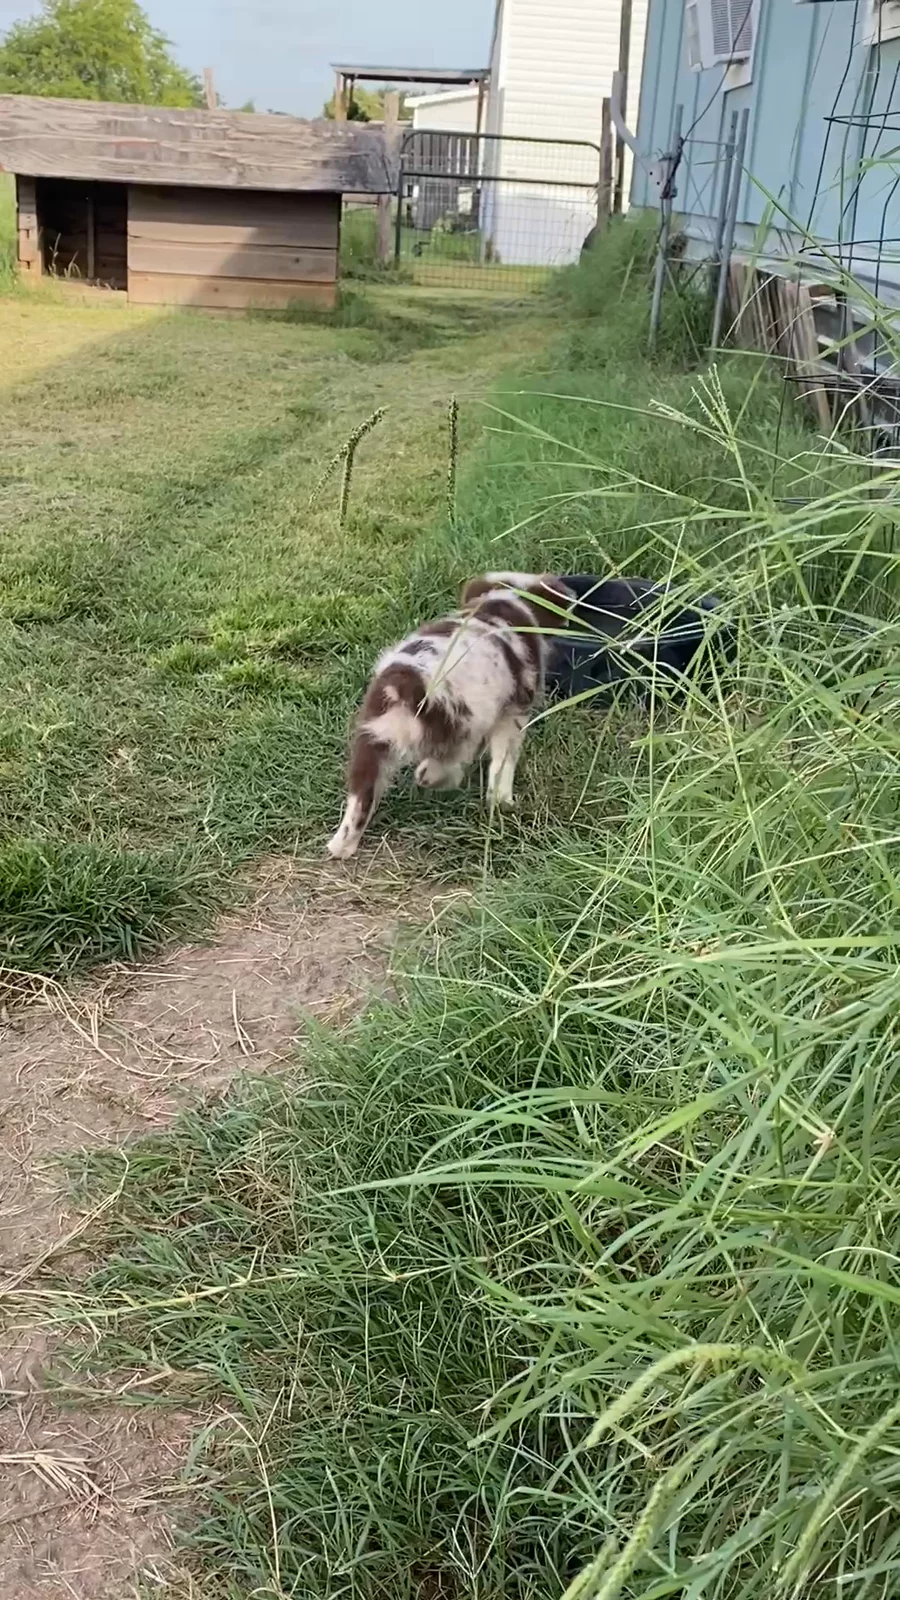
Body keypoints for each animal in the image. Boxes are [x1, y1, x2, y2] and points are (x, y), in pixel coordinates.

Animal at [327, 572, 575, 861]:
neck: (505, 601)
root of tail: (407, 687)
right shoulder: (513, 713)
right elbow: (503, 761)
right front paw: (503, 803)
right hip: (460, 726)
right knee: (442, 768)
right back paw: (433, 778)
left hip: (372, 738)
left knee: (360, 797)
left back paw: (341, 847)